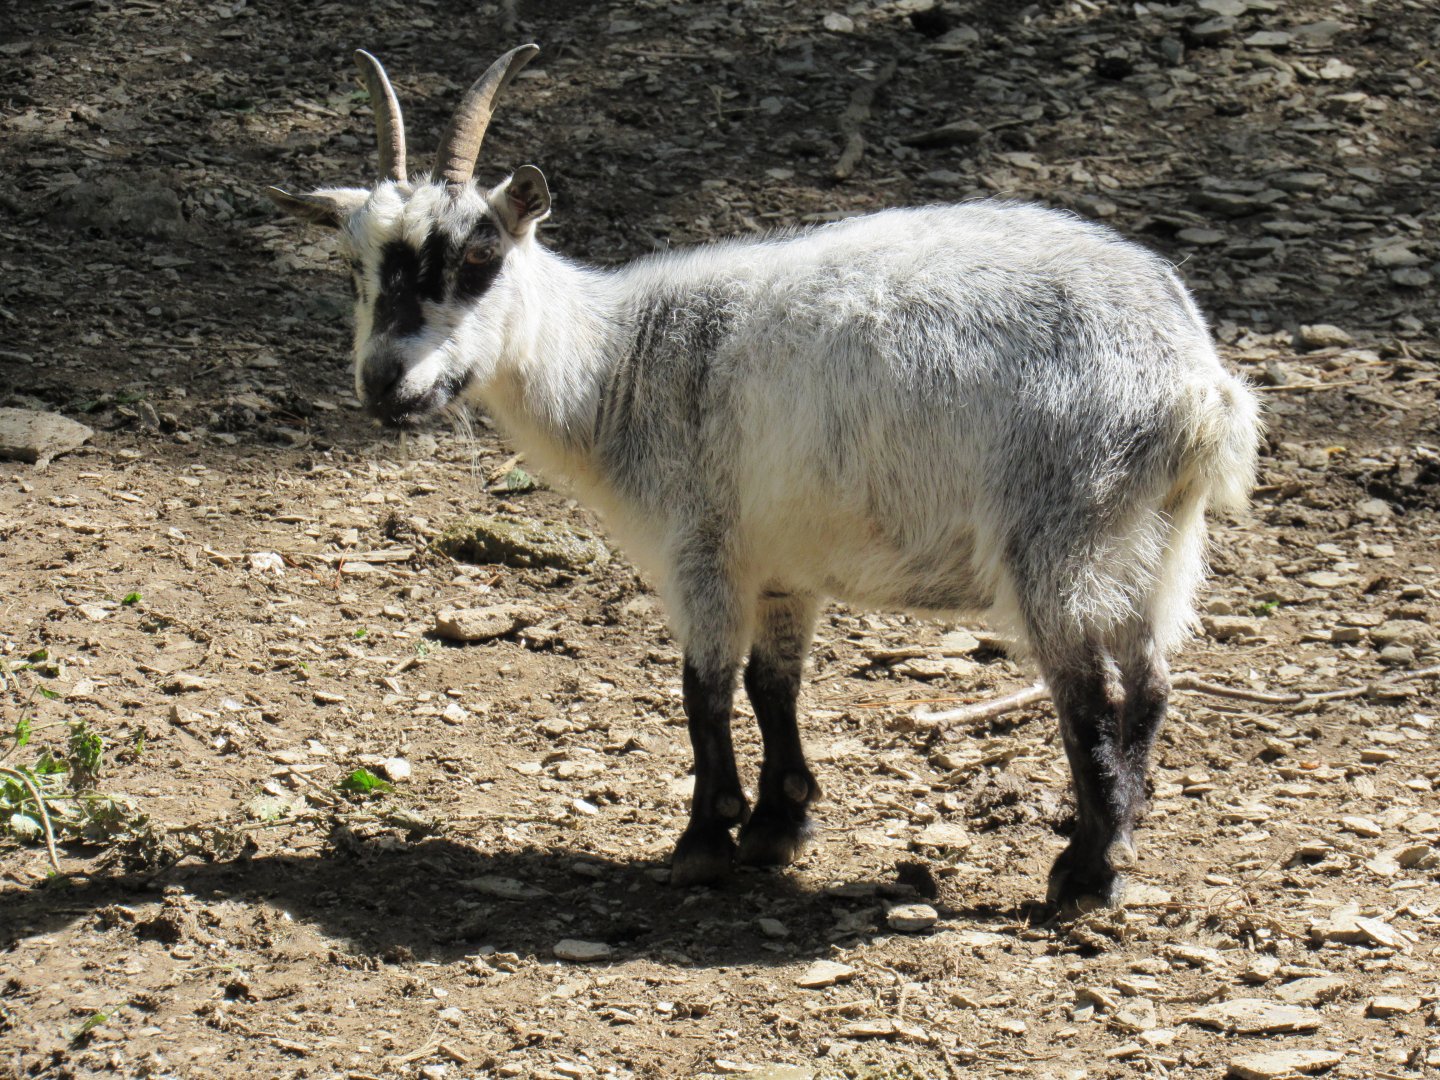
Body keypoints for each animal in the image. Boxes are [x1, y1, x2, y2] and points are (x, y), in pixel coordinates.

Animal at [267, 46, 1261, 910]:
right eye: (356, 264)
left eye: (479, 258)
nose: (385, 385)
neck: (623, 361)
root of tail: (1196, 389)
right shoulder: (783, 562)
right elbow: (771, 684)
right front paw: (781, 824)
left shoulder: (701, 543)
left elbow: (702, 686)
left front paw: (705, 840)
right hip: (1158, 540)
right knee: (1152, 683)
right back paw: (1120, 834)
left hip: (1059, 526)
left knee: (1088, 692)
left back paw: (1083, 874)